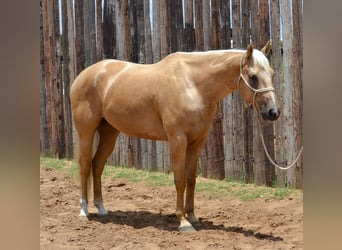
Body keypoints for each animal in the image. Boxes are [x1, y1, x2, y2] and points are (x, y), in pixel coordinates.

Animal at [71, 42, 280, 231]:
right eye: (253, 77)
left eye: (272, 74)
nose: (273, 112)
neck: (193, 85)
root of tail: (83, 76)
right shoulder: (177, 139)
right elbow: (179, 179)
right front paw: (183, 221)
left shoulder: (198, 141)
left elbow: (191, 179)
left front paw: (193, 217)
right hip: (86, 132)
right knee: (84, 166)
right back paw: (84, 212)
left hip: (109, 132)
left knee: (97, 165)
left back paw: (101, 208)